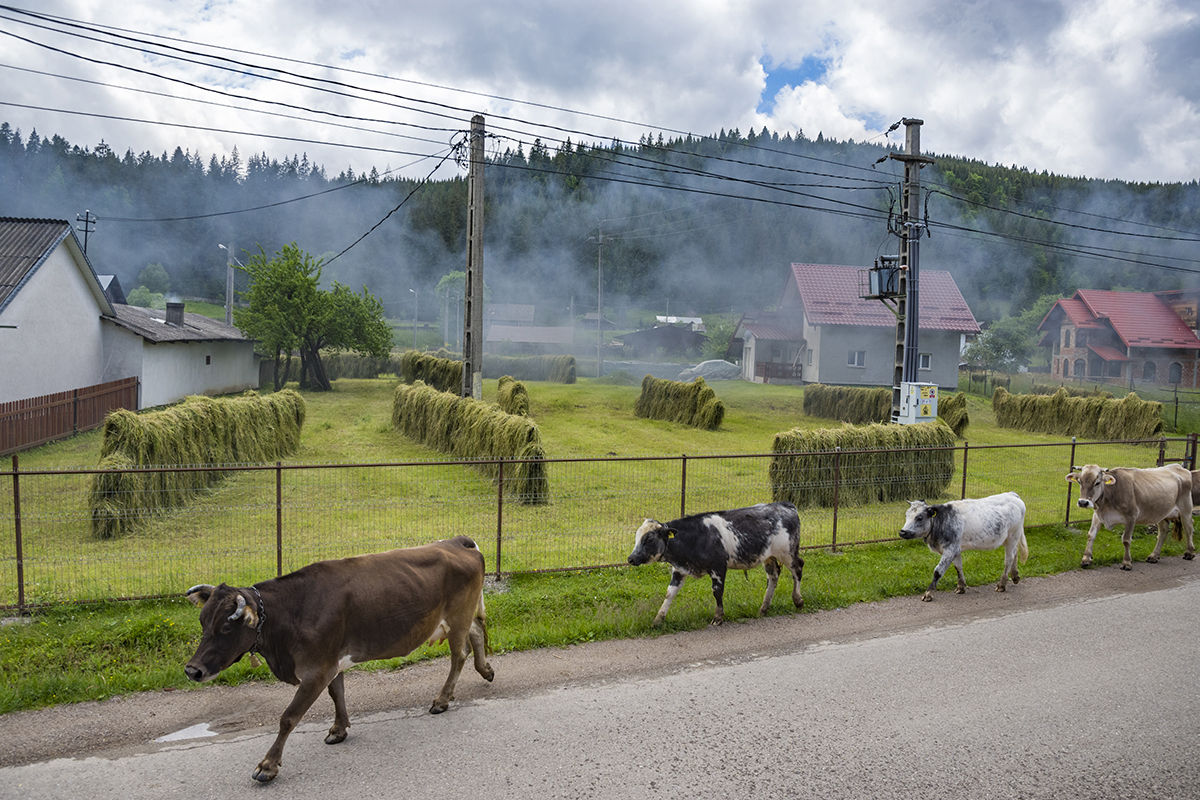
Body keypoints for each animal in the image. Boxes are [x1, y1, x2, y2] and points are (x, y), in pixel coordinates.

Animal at [183, 534, 492, 786]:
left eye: (226, 626)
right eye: (202, 621)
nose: (192, 670)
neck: (291, 614)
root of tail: (455, 541)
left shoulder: (317, 669)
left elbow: (288, 717)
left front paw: (267, 766)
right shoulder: (331, 662)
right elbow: (337, 693)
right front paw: (339, 729)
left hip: (457, 616)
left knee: (459, 655)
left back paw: (442, 699)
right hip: (460, 618)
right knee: (476, 632)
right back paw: (485, 670)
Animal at [624, 501, 801, 623]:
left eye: (649, 539)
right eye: (637, 537)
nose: (630, 558)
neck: (696, 537)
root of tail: (784, 505)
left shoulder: (718, 567)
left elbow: (717, 591)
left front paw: (718, 617)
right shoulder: (679, 570)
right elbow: (669, 593)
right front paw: (658, 619)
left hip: (788, 553)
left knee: (798, 569)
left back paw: (798, 600)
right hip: (768, 557)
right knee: (773, 576)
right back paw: (763, 608)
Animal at [897, 491, 1027, 604]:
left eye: (919, 517)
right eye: (906, 515)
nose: (902, 532)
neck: (942, 521)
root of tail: (1012, 494)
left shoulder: (950, 550)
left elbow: (938, 571)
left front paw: (928, 594)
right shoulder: (955, 549)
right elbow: (958, 567)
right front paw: (960, 587)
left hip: (1013, 535)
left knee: (1009, 559)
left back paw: (1002, 584)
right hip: (1009, 539)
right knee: (1015, 552)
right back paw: (1015, 576)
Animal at [1065, 462, 1195, 568]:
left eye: (1097, 483)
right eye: (1080, 481)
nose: (1083, 502)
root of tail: (1179, 467)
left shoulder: (1131, 517)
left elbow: (1126, 540)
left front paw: (1126, 563)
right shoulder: (1097, 515)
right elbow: (1091, 535)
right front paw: (1086, 559)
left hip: (1186, 508)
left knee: (1188, 528)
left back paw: (1189, 552)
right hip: (1162, 512)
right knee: (1163, 532)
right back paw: (1153, 555)